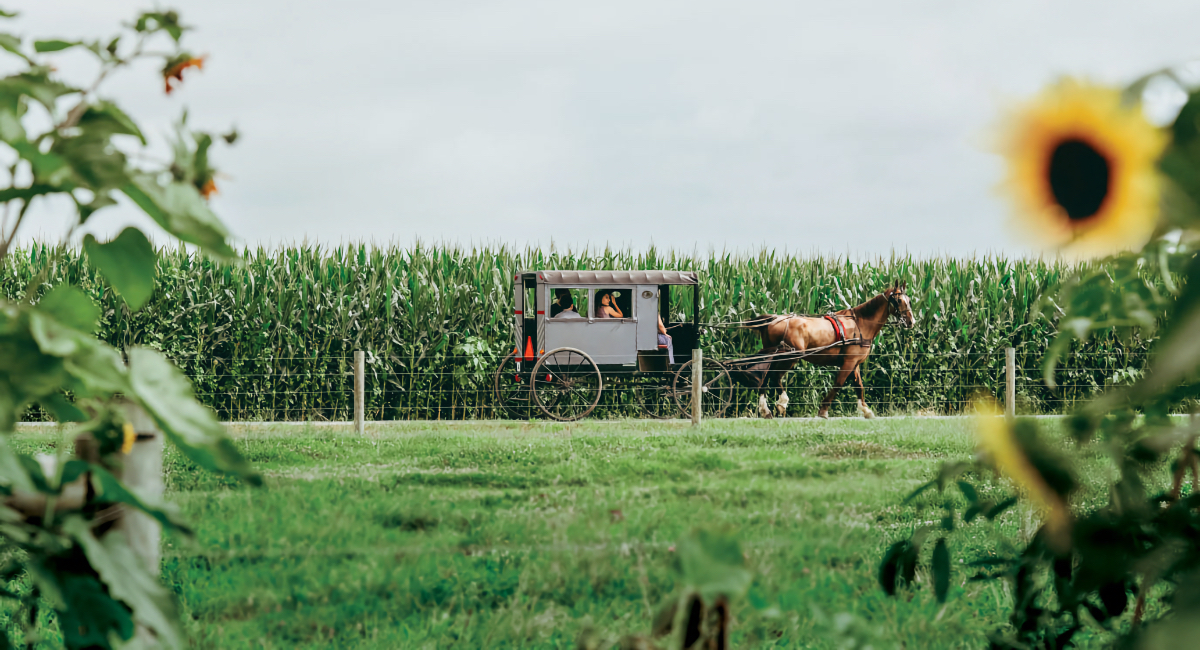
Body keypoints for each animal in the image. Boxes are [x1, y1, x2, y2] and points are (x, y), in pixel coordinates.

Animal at [729, 283, 916, 419]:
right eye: (899, 301)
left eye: (909, 300)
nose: (911, 321)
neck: (860, 324)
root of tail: (774, 319)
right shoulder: (848, 363)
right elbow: (838, 384)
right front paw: (823, 411)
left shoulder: (854, 363)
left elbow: (859, 386)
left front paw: (866, 411)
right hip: (790, 356)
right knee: (774, 376)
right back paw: (781, 403)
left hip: (775, 355)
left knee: (766, 376)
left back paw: (765, 410)